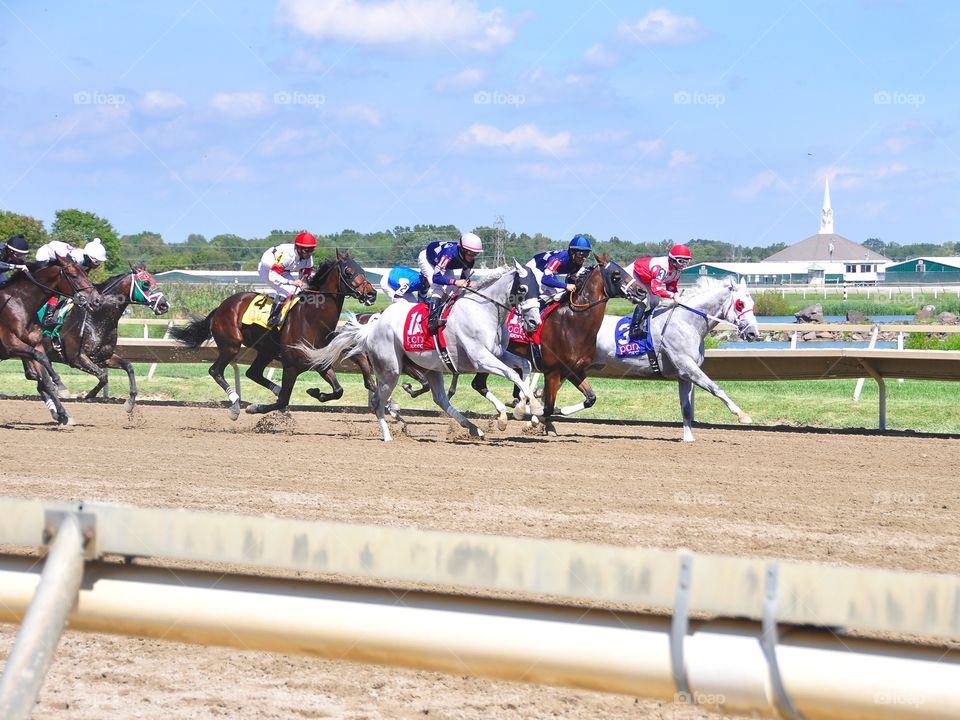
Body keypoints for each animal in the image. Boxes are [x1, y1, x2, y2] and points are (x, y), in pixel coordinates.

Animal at [0, 258, 103, 424]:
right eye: (73, 275)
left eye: (86, 274)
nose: (97, 300)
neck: (19, 304)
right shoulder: (11, 345)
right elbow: (43, 361)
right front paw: (60, 385)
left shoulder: (35, 345)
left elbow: (46, 380)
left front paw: (63, 415)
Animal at [169, 249, 376, 420]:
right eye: (348, 271)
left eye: (363, 270)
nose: (372, 294)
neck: (311, 319)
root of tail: (221, 306)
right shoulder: (291, 365)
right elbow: (284, 400)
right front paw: (254, 408)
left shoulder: (318, 360)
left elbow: (338, 390)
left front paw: (316, 392)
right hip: (231, 345)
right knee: (215, 371)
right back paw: (235, 404)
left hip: (265, 350)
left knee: (252, 373)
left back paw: (273, 389)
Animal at [300, 268, 544, 442]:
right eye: (523, 289)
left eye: (539, 290)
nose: (535, 322)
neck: (484, 311)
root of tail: (372, 326)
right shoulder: (480, 358)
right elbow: (512, 374)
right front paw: (529, 408)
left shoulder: (498, 353)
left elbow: (524, 366)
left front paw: (522, 407)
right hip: (391, 370)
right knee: (377, 401)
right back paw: (388, 435)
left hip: (431, 368)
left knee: (440, 399)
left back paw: (474, 428)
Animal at [470, 253, 640, 434]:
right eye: (616, 274)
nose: (641, 290)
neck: (573, 323)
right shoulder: (552, 371)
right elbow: (547, 407)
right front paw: (528, 415)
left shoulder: (574, 370)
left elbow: (590, 399)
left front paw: (544, 417)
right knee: (479, 384)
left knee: (484, 384)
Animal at [580, 276, 760, 442]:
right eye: (740, 304)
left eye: (753, 304)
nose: (753, 333)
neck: (687, 322)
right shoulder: (688, 366)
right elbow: (716, 388)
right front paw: (742, 415)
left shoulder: (684, 375)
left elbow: (686, 407)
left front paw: (688, 438)